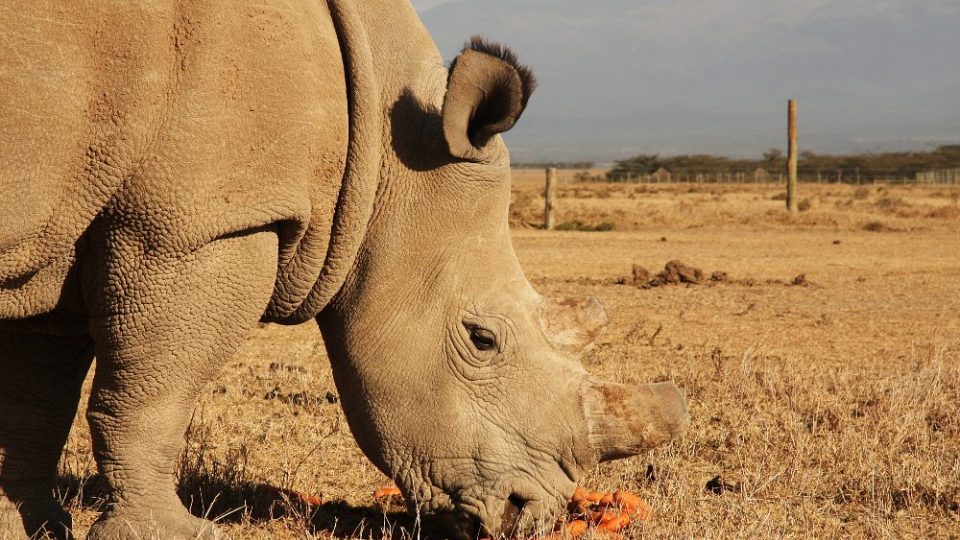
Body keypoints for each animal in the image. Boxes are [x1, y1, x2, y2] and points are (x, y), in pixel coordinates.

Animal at [0, 1, 688, 540]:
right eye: (483, 339)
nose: (528, 513)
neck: (385, 154)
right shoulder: (198, 223)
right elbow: (155, 390)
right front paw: (170, 534)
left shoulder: (65, 234)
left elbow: (35, 399)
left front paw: (26, 524)